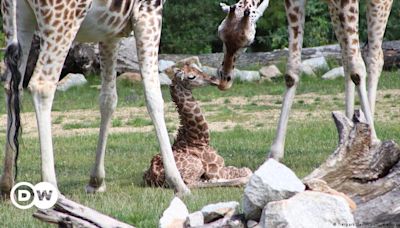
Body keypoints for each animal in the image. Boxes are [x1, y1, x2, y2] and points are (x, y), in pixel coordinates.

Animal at [0, 0, 191, 196]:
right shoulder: (149, 11)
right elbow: (153, 96)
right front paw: (178, 183)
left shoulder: (110, 31)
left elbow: (108, 99)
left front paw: (96, 181)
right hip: (60, 21)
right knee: (41, 86)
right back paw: (52, 189)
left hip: (17, 20)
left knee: (12, 86)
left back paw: (7, 184)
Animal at [216, 0, 390, 160]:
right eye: (221, 35)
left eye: (248, 41)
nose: (225, 79)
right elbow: (292, 72)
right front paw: (275, 154)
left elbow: (357, 68)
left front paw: (373, 141)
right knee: (347, 57)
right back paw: (348, 131)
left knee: (374, 56)